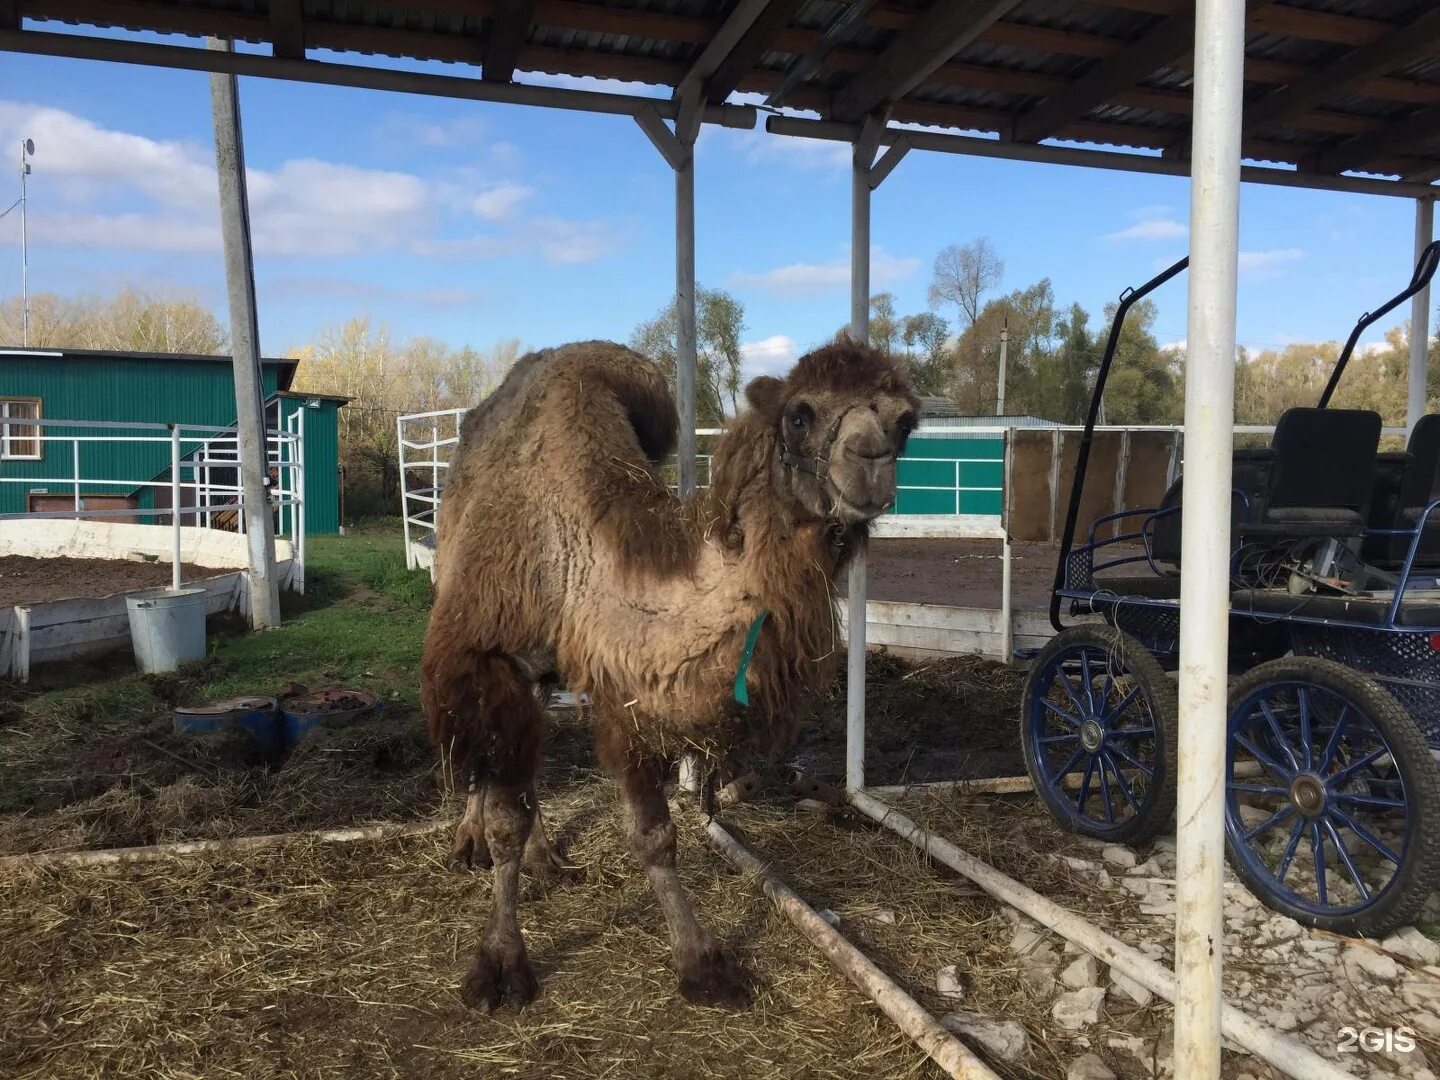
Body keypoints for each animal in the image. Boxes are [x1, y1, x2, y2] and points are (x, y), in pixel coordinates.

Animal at [420, 338, 915, 1013]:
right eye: (799, 414)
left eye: (905, 422)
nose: (870, 462)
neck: (578, 553)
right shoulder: (494, 654)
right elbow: (504, 821)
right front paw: (499, 964)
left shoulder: (627, 694)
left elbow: (654, 835)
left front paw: (702, 963)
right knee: (480, 755)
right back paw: (470, 840)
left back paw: (548, 858)